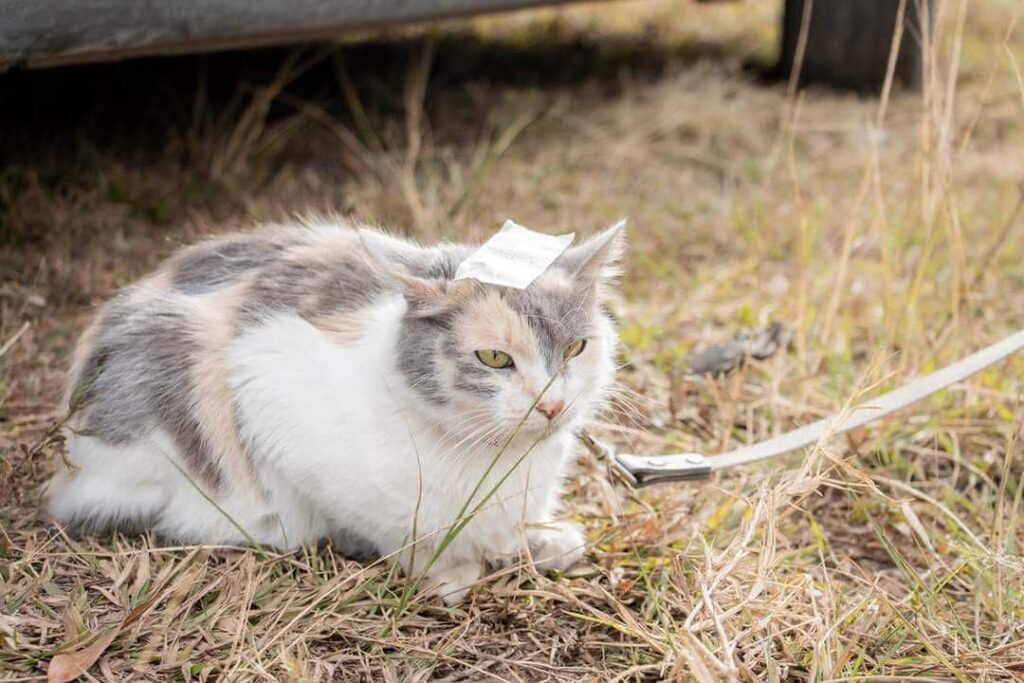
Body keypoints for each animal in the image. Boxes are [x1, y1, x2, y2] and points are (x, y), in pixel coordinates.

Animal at [44, 220, 622, 602]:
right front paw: (448, 569)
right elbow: (387, 530)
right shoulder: (265, 386)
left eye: (575, 349)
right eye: (495, 359)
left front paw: (539, 543)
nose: (553, 404)